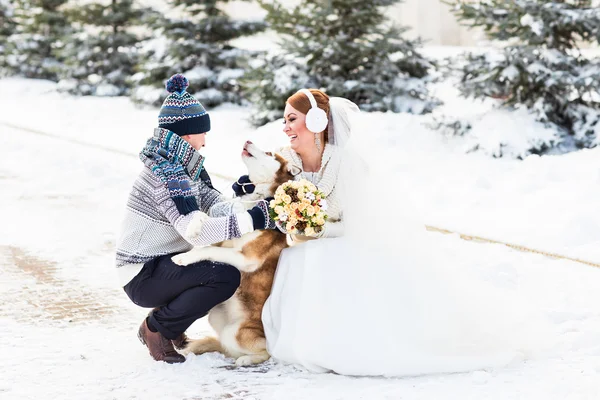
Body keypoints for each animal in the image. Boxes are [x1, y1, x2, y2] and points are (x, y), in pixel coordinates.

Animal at [171, 141, 298, 366]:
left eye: (269, 153)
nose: (248, 141)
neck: (253, 199)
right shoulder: (225, 231)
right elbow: (205, 219)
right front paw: (193, 227)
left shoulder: (246, 258)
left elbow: (209, 249)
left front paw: (183, 257)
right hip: (216, 316)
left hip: (236, 333)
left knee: (266, 352)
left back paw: (245, 360)